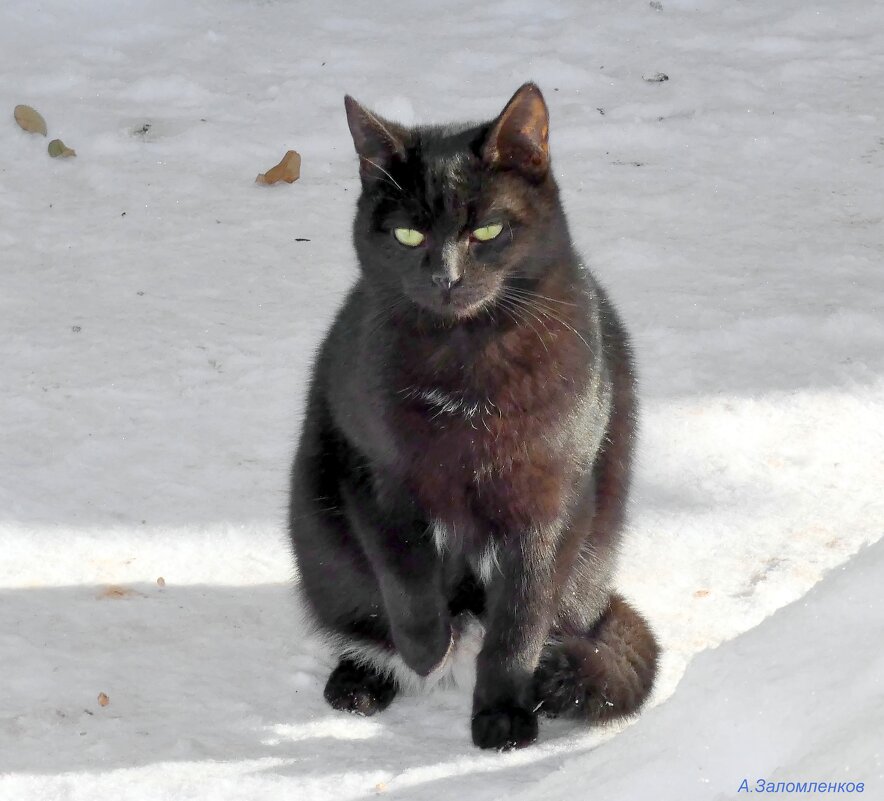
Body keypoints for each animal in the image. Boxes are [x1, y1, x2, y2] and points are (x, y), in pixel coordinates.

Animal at [290, 84, 656, 748]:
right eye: (409, 236)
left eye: (487, 229)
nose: (447, 277)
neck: (466, 367)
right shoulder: (375, 477)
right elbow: (404, 578)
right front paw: (425, 651)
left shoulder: (548, 501)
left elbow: (520, 619)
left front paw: (503, 713)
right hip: (321, 539)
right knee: (362, 613)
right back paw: (365, 679)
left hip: (591, 561)